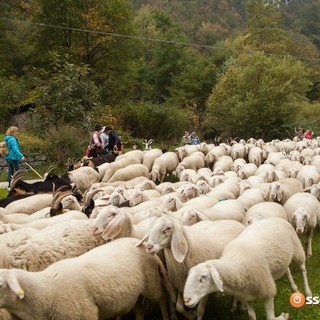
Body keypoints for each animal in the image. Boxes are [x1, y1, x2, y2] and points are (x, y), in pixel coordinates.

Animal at [0, 236, 172, 320]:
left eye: (1, 284)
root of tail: (138, 241)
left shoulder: (85, 314)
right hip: (135, 293)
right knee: (139, 311)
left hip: (151, 282)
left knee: (162, 300)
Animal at [184, 218, 312, 320]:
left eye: (203, 277)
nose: (186, 300)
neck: (236, 266)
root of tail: (274, 217)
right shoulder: (246, 297)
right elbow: (251, 316)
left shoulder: (268, 292)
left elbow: (270, 318)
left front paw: (283, 316)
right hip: (282, 259)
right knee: (287, 270)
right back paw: (294, 289)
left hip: (296, 250)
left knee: (303, 269)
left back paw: (308, 293)